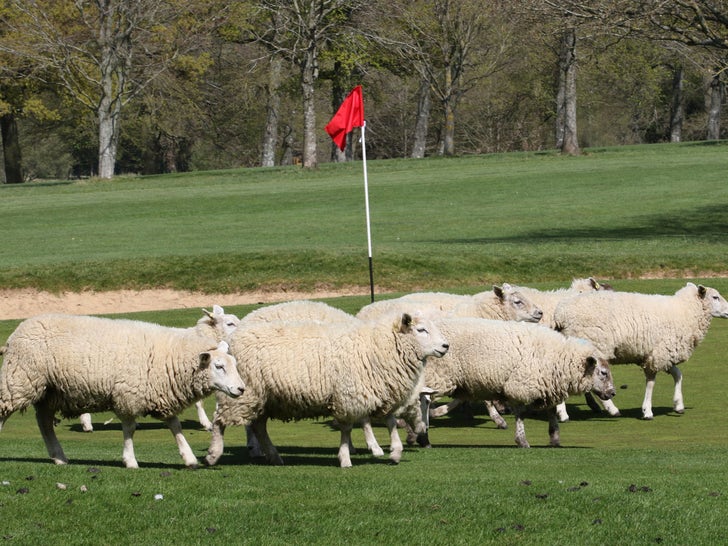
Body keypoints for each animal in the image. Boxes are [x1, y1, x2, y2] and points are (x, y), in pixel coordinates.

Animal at [202, 310, 446, 468]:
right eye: (421, 330)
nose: (446, 346)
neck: (376, 346)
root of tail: (230, 341)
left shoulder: (380, 391)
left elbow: (391, 422)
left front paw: (395, 452)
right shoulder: (349, 395)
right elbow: (347, 429)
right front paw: (345, 458)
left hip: (263, 398)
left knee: (259, 426)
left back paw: (274, 456)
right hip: (242, 392)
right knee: (220, 422)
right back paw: (213, 455)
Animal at [416, 318, 616, 446]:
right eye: (603, 373)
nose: (613, 392)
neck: (556, 357)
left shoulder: (545, 386)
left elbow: (551, 411)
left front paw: (554, 437)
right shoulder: (520, 386)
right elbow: (520, 414)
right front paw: (522, 440)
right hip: (439, 376)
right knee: (424, 400)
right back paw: (422, 434)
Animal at [552, 282, 728, 418]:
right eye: (715, 297)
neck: (685, 311)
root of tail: (560, 314)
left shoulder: (660, 353)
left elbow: (678, 375)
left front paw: (678, 405)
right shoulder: (658, 355)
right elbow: (651, 383)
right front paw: (647, 411)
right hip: (593, 345)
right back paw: (601, 410)